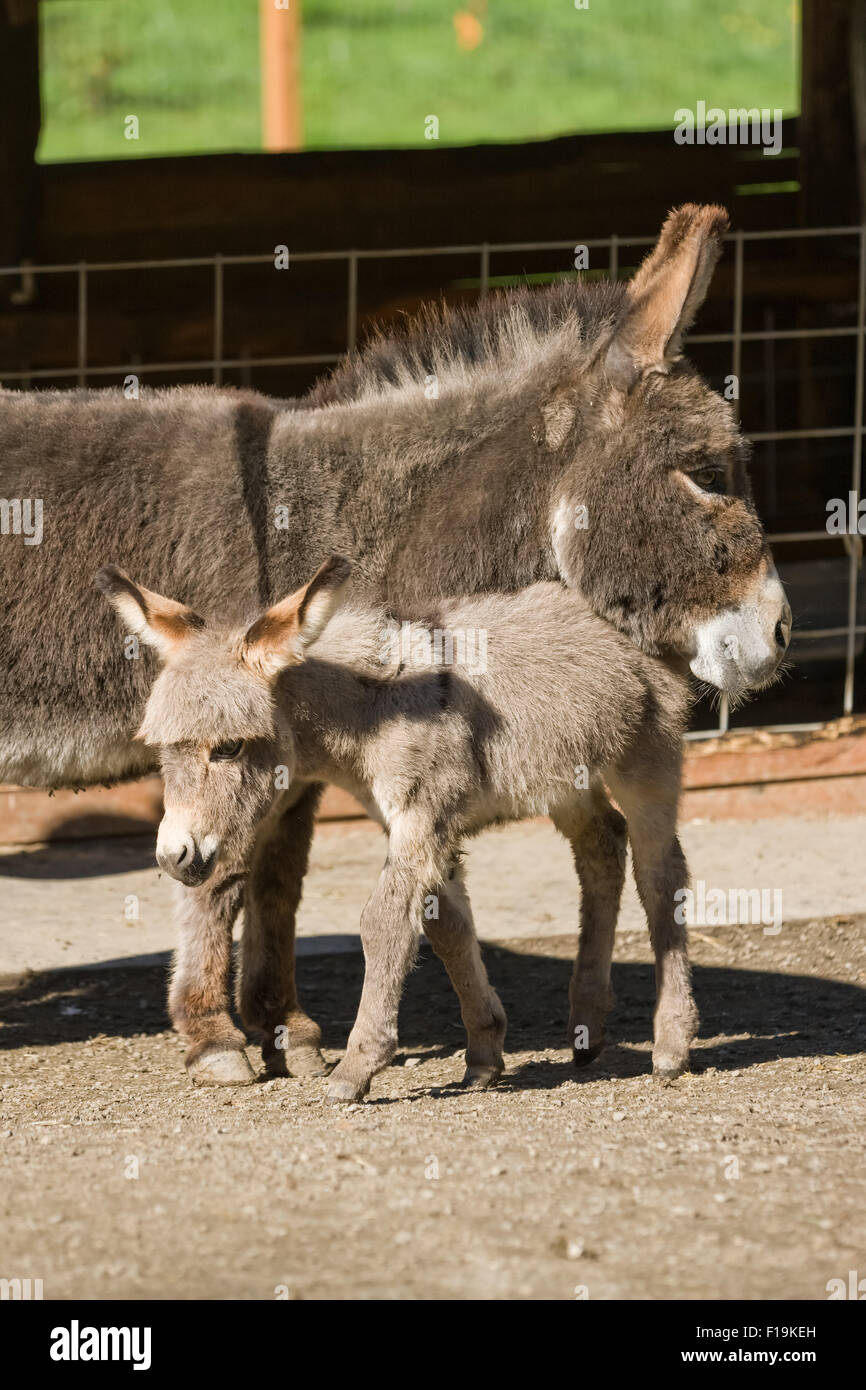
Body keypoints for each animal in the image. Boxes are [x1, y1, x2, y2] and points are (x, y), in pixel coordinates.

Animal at [97, 553, 697, 1095]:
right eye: (162, 751)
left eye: (228, 747)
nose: (172, 857)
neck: (370, 713)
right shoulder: (419, 826)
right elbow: (445, 926)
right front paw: (484, 1054)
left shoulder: (421, 815)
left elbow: (384, 923)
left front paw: (357, 1068)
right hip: (568, 778)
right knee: (602, 846)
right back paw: (588, 1027)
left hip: (647, 761)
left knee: (660, 875)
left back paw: (670, 1044)